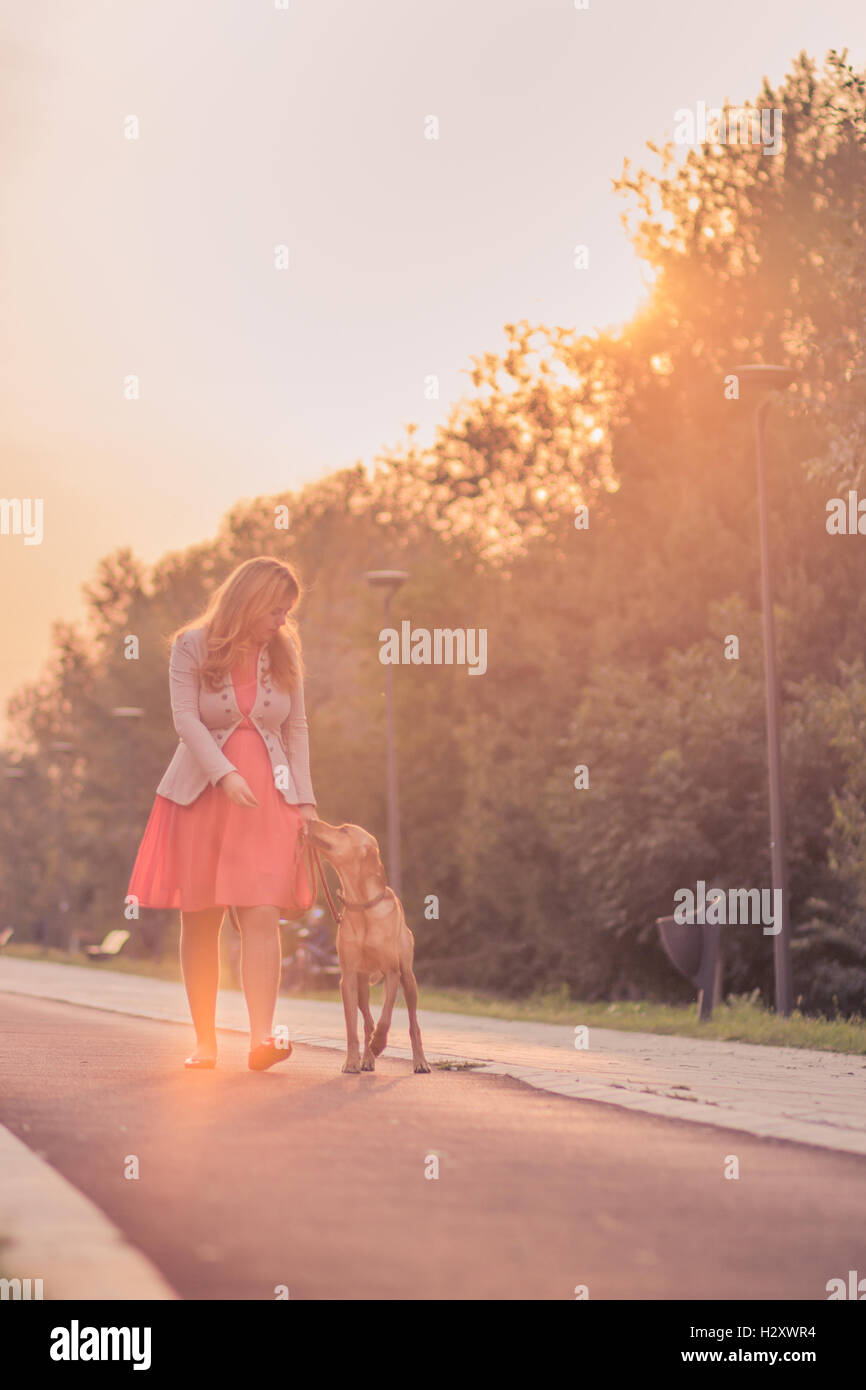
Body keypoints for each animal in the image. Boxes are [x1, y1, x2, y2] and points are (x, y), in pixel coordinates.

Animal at [304, 811, 433, 1073]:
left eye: (344, 830)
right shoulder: (348, 978)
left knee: (412, 1024)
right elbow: (352, 1026)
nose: (310, 820)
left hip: (409, 980)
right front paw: (352, 1060)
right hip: (362, 985)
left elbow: (386, 1018)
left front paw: (379, 1044)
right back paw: (367, 1057)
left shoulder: (392, 973)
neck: (361, 905)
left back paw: (419, 1061)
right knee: (367, 1021)